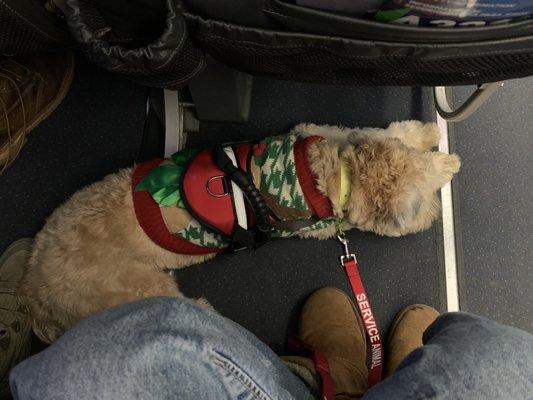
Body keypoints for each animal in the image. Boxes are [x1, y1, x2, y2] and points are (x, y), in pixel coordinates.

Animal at [22, 120, 460, 342]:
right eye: (426, 203)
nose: (433, 215)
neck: (339, 171)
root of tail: (35, 284)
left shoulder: (321, 131)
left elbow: (379, 129)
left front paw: (425, 135)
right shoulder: (316, 222)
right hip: (135, 288)